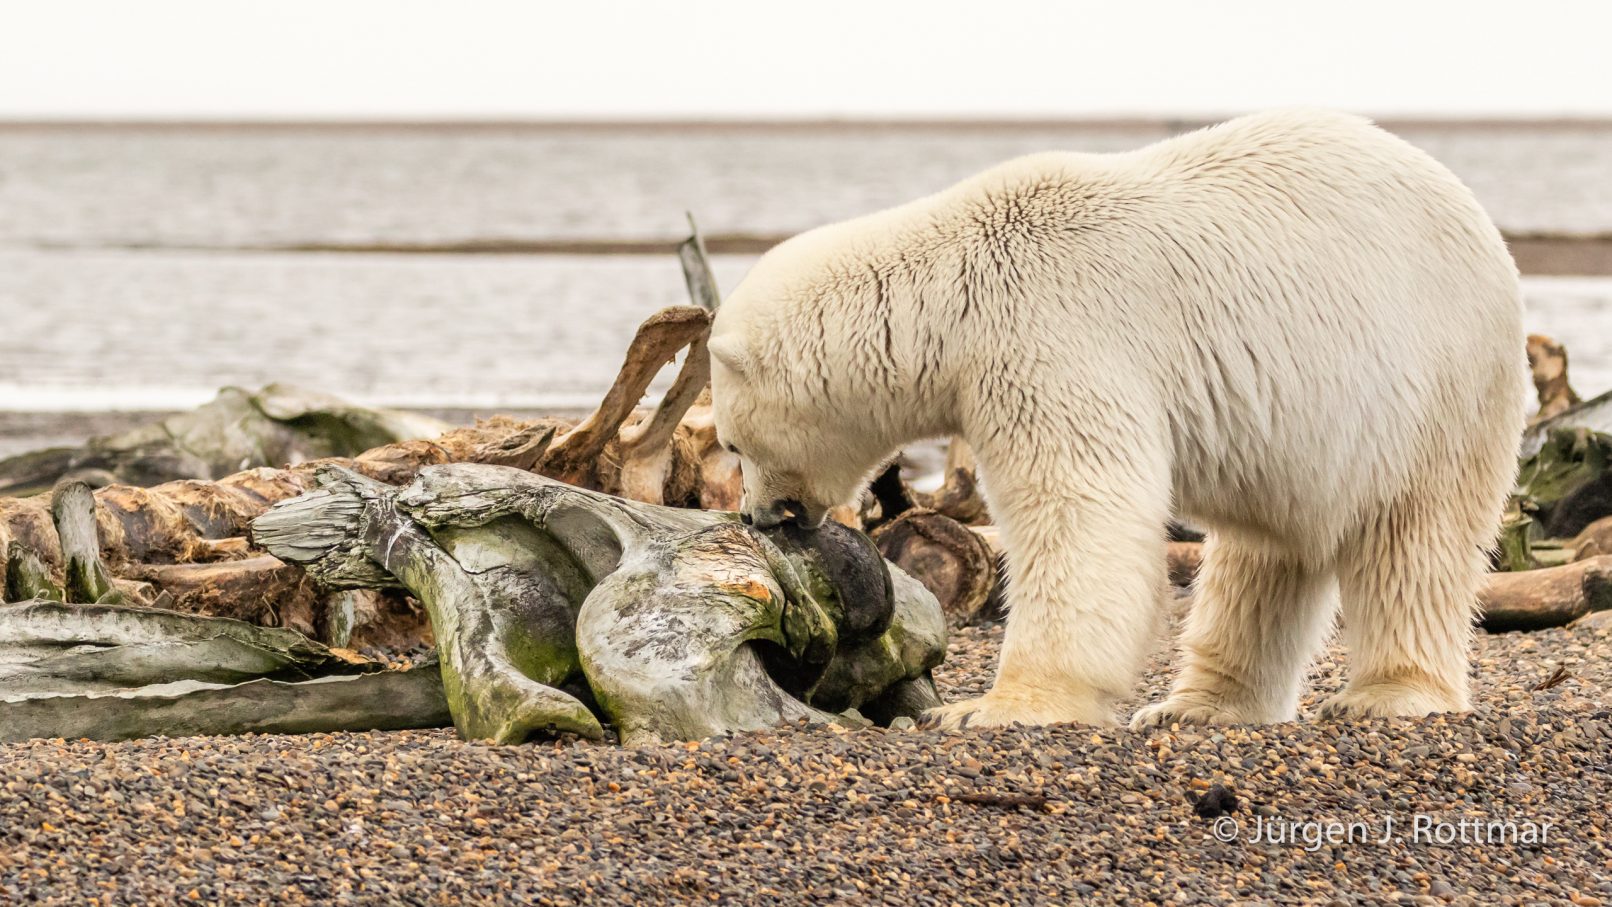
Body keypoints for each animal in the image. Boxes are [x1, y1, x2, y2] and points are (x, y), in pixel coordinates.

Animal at [707, 108, 1527, 730]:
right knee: (1266, 553)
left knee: (1415, 536)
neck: (952, 289)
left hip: (1438, 379)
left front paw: (989, 708)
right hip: (1302, 433)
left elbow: (1077, 507)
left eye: (732, 441)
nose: (759, 516)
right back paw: (1197, 706)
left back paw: (1388, 694)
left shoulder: (1047, 334)